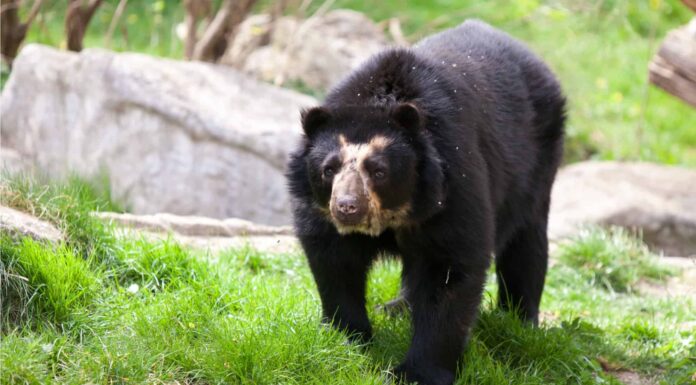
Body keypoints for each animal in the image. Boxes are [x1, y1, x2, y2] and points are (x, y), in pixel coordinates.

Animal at [286, 19, 564, 384]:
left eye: (378, 171)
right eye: (328, 169)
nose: (347, 207)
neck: (396, 213)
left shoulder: (453, 184)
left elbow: (449, 269)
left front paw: (415, 373)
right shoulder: (320, 214)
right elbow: (335, 261)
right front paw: (346, 339)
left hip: (536, 164)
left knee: (526, 243)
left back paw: (519, 321)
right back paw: (396, 308)